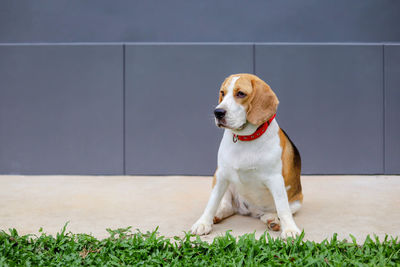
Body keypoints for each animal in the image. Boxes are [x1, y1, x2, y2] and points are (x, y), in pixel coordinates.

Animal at [191, 74, 304, 240]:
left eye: (241, 94)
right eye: (223, 93)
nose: (218, 112)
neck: (245, 139)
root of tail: (250, 210)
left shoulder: (276, 179)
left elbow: (283, 208)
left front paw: (290, 229)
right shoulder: (221, 174)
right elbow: (211, 203)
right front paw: (203, 223)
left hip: (297, 201)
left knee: (276, 211)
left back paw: (271, 219)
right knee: (226, 206)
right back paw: (217, 215)